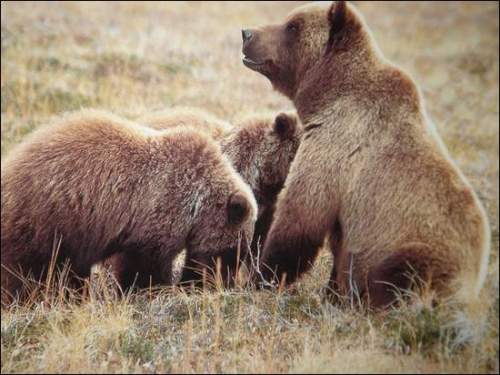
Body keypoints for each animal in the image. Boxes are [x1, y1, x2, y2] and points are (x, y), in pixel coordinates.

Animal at [0, 107, 258, 304]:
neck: (196, 202)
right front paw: (152, 291)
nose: (227, 284)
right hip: (47, 218)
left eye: (240, 253)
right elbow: (144, 267)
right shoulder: (156, 214)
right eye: (233, 251)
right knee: (26, 269)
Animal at [241, 0, 488, 308]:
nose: (247, 34)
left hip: (415, 252)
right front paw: (332, 293)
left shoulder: (334, 145)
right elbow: (337, 244)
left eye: (292, 26)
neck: (329, 93)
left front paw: (258, 280)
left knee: (399, 274)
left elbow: (300, 220)